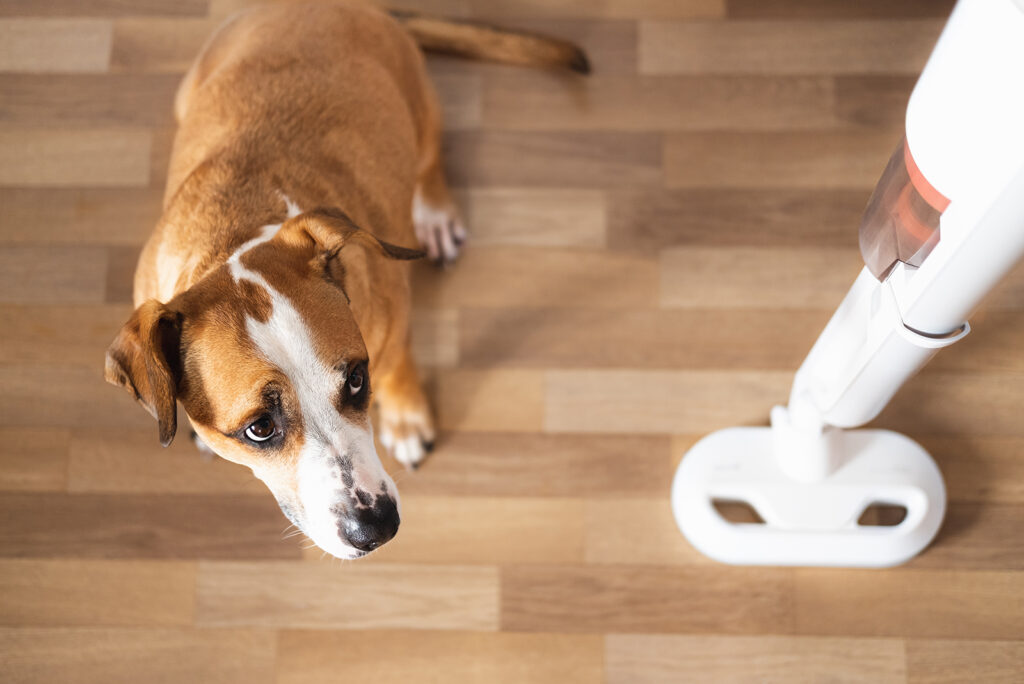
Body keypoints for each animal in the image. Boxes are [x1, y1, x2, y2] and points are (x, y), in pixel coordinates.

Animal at [104, 2, 589, 557]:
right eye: (258, 429)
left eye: (357, 379)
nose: (377, 528)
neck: (235, 234)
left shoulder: (393, 324)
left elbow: (399, 368)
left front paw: (406, 420)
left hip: (420, 104)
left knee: (430, 159)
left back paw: (434, 212)